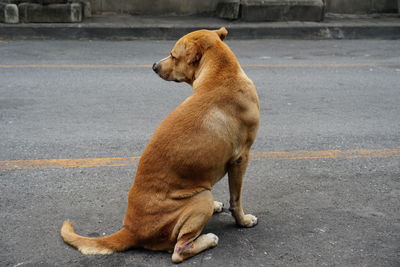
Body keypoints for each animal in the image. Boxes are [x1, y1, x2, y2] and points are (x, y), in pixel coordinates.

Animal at [59, 27, 260, 264]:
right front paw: (243, 221)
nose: (154, 65)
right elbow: (236, 199)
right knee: (178, 251)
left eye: (173, 56)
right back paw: (208, 239)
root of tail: (131, 230)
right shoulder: (240, 158)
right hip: (200, 197)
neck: (220, 74)